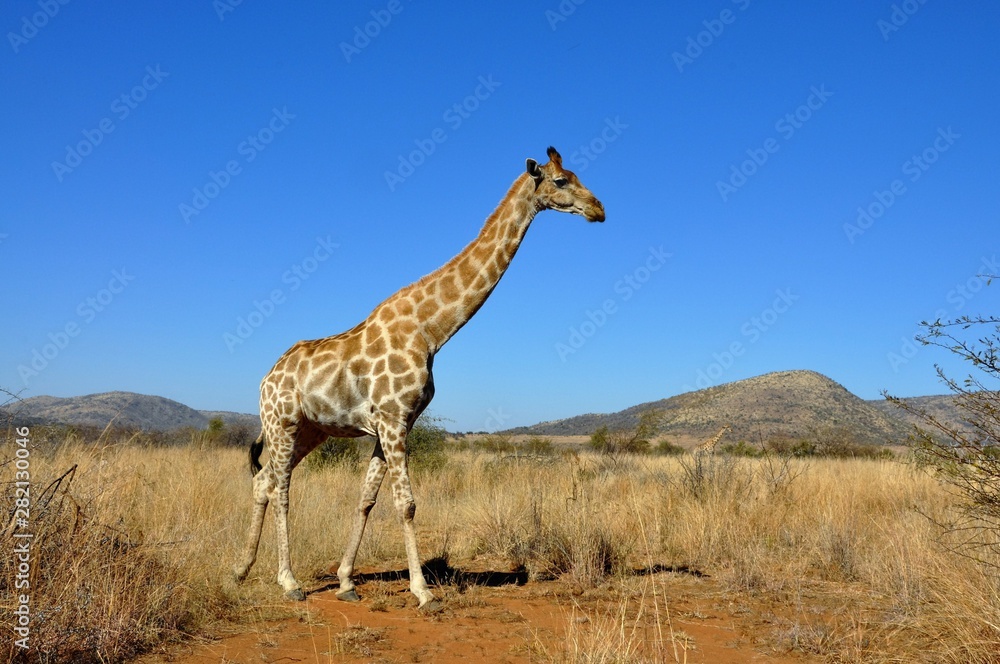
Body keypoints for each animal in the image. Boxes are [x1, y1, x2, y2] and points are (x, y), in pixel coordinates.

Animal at [233, 147, 605, 608]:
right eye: (560, 181)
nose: (599, 209)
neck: (431, 331)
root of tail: (266, 377)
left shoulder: (392, 424)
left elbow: (367, 500)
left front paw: (346, 582)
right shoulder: (393, 421)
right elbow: (406, 504)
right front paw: (422, 590)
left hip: (310, 429)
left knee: (263, 480)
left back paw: (241, 569)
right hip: (281, 422)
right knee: (281, 488)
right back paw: (289, 581)